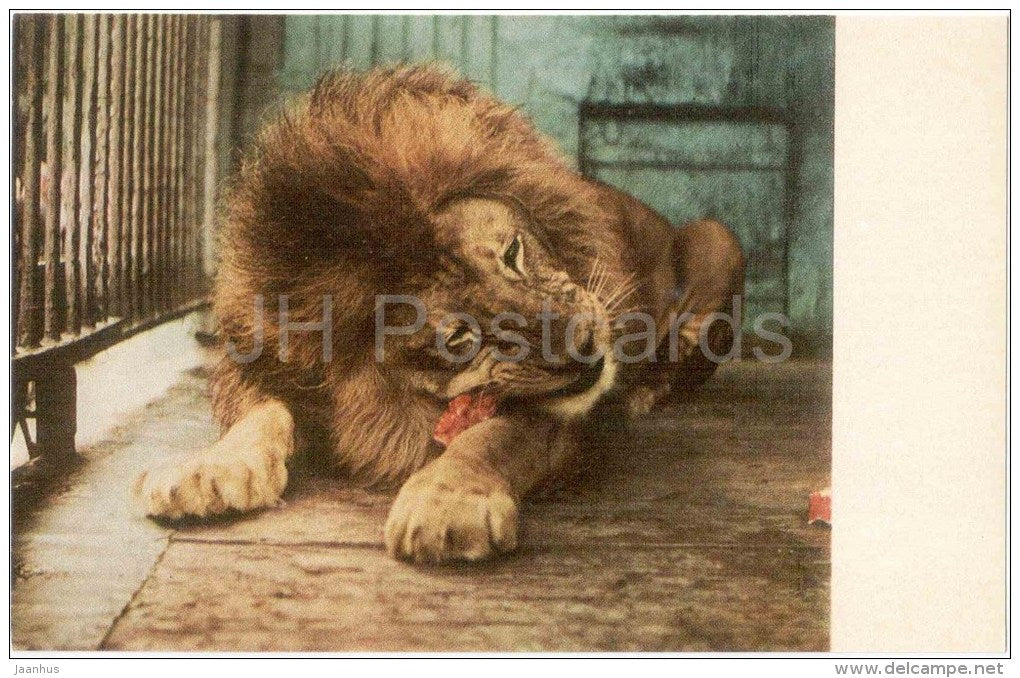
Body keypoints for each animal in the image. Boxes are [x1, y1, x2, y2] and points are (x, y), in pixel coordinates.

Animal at [134, 65, 744, 563]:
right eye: (458, 339)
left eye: (512, 253)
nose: (588, 347)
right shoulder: (259, 355)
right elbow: (258, 413)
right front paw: (207, 470)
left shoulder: (579, 420)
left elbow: (495, 435)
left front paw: (445, 503)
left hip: (720, 239)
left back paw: (650, 389)